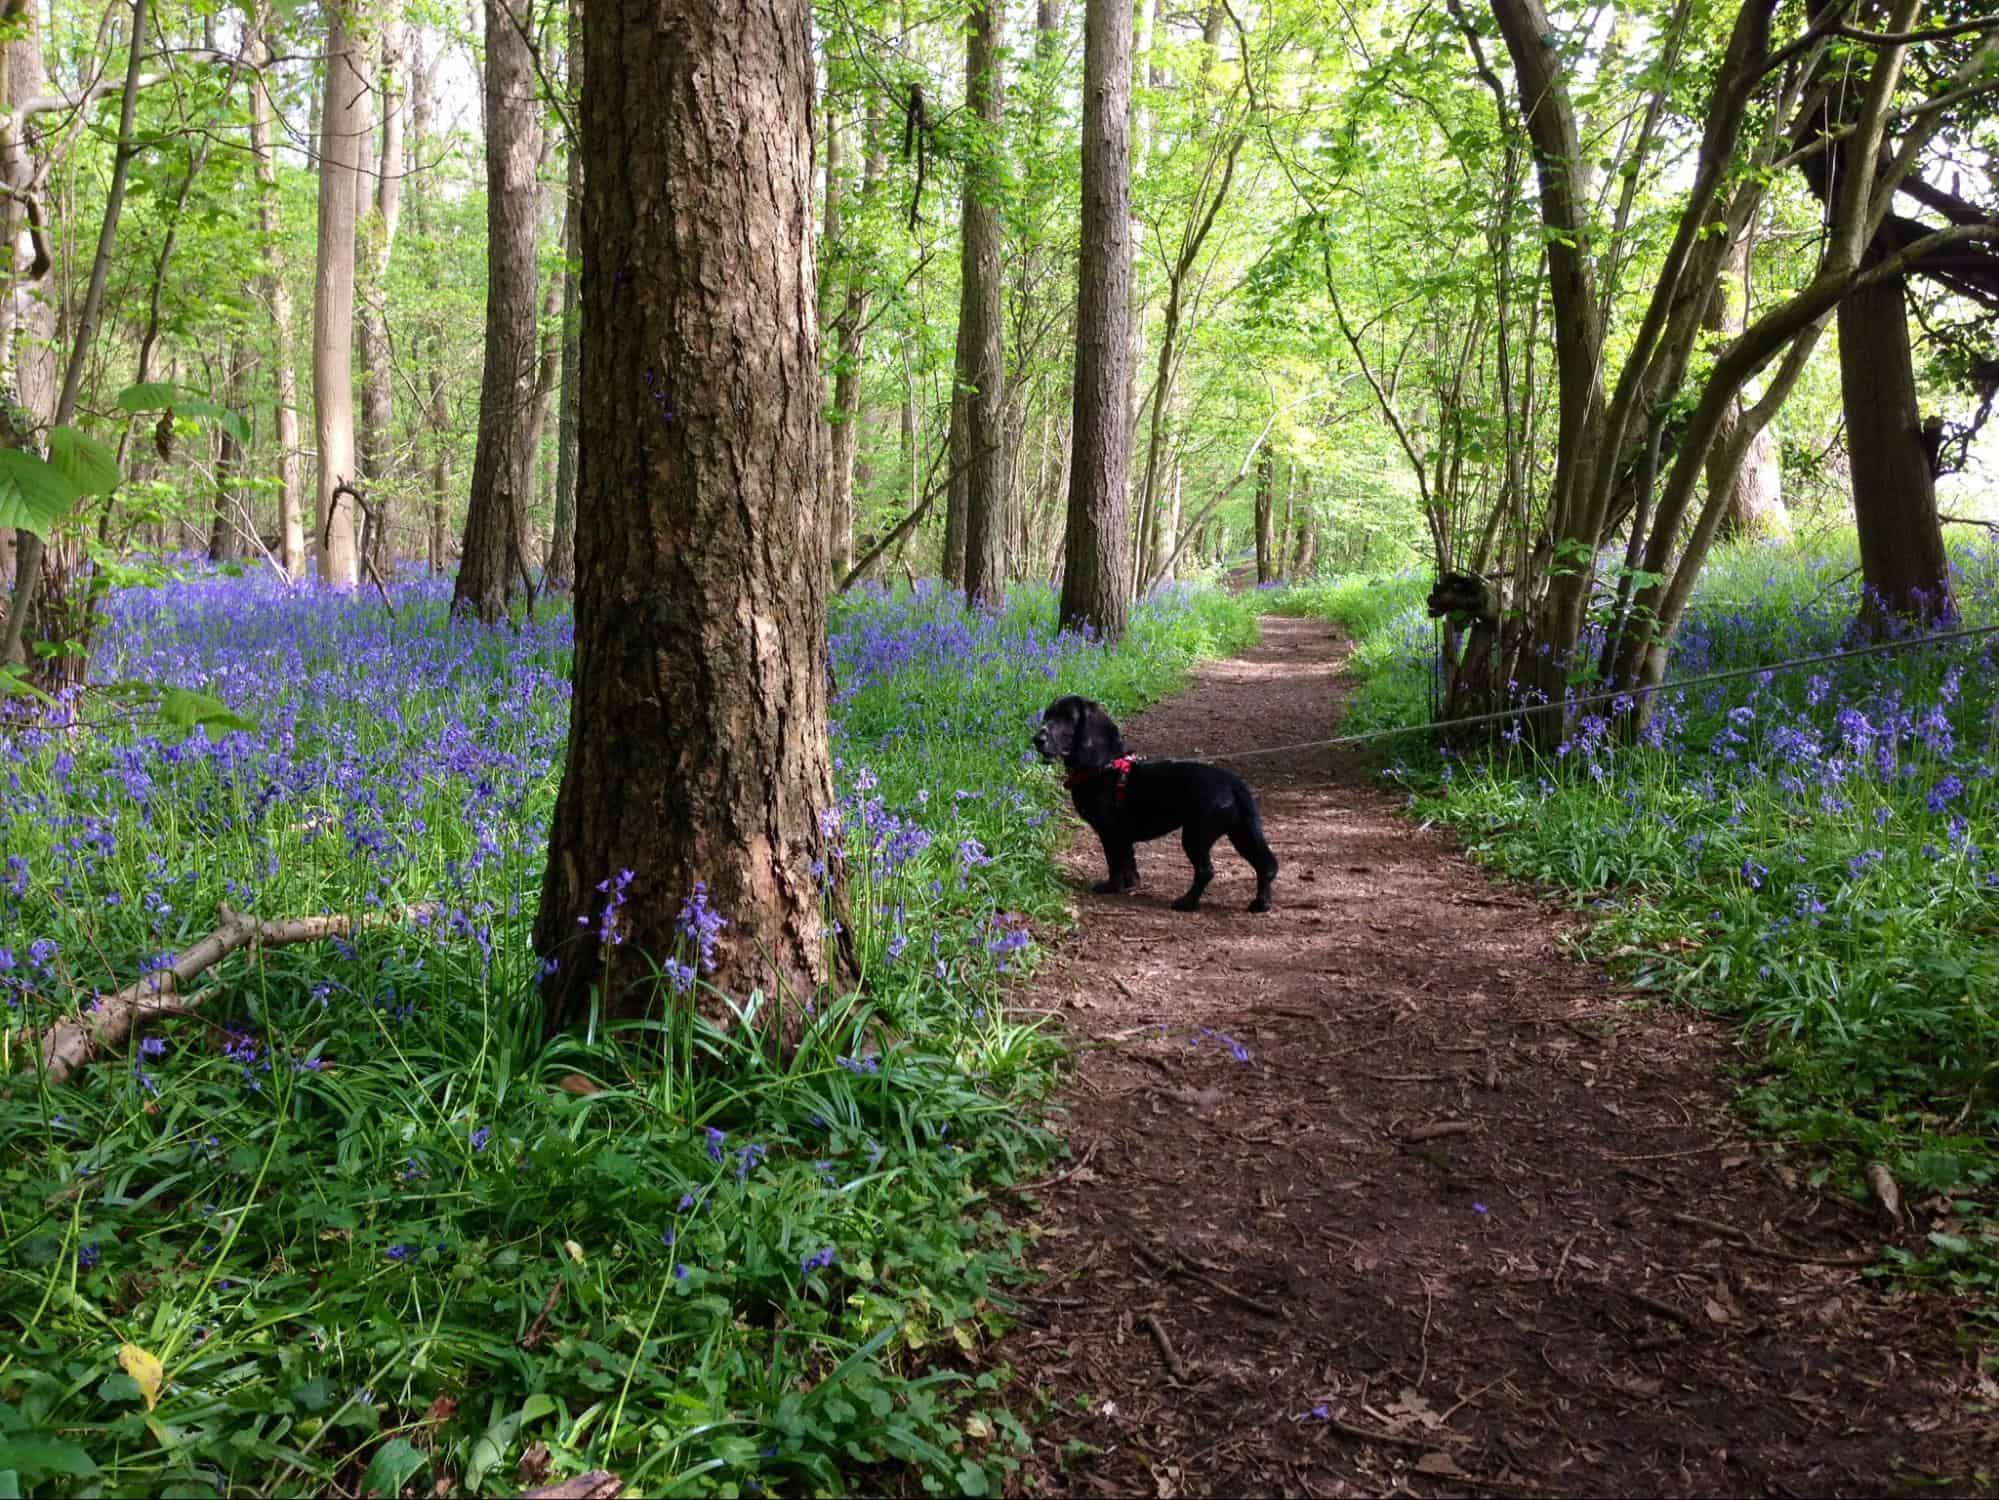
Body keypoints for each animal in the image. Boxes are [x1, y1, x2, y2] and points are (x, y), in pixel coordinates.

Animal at [1031, 696, 1279, 916]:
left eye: (1067, 718)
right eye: (1048, 715)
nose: (1037, 739)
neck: (1102, 765)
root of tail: (1234, 784)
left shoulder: (1109, 832)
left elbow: (1114, 862)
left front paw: (1111, 887)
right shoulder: (1123, 835)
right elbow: (1128, 861)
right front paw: (1130, 884)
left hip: (1196, 836)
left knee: (1206, 871)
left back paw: (1187, 902)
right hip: (1242, 833)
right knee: (1266, 866)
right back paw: (1261, 904)